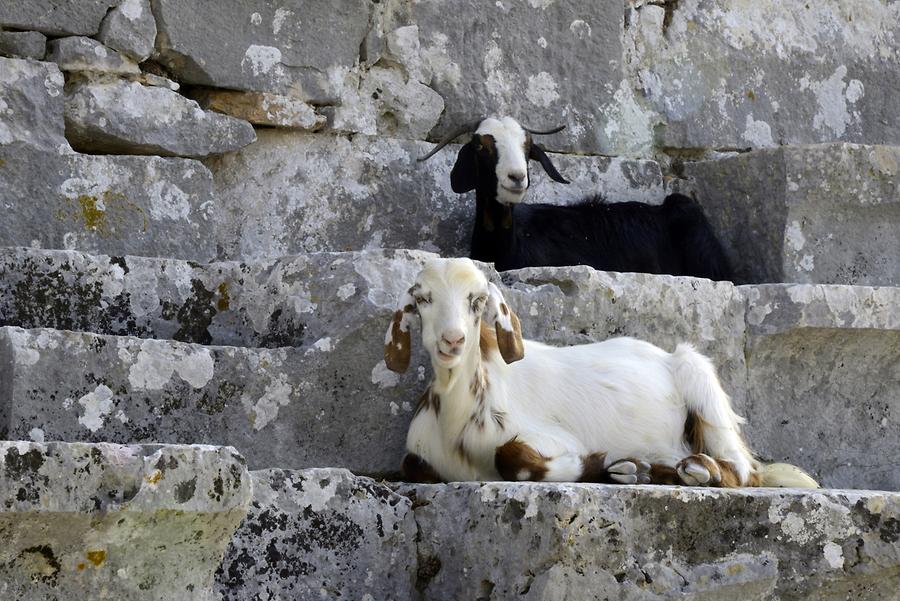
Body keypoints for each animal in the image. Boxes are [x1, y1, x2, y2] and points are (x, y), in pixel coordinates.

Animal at [384, 258, 820, 488]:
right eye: (422, 300)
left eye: (476, 301)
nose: (453, 340)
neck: (457, 418)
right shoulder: (417, 457)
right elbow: (410, 465)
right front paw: (624, 467)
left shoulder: (550, 438)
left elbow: (512, 457)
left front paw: (598, 463)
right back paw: (649, 468)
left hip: (699, 377)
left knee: (743, 470)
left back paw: (697, 468)